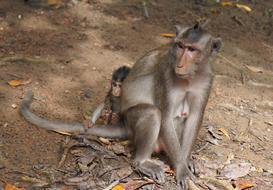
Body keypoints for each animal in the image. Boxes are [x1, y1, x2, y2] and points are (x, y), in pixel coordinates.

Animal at [20, 23, 220, 189]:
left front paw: (185, 162)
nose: (180, 63)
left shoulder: (207, 80)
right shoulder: (166, 75)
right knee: (152, 113)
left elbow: (194, 117)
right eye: (180, 46)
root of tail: (124, 124)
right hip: (132, 120)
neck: (190, 77)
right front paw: (181, 167)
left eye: (192, 49)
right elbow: (165, 116)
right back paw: (143, 162)